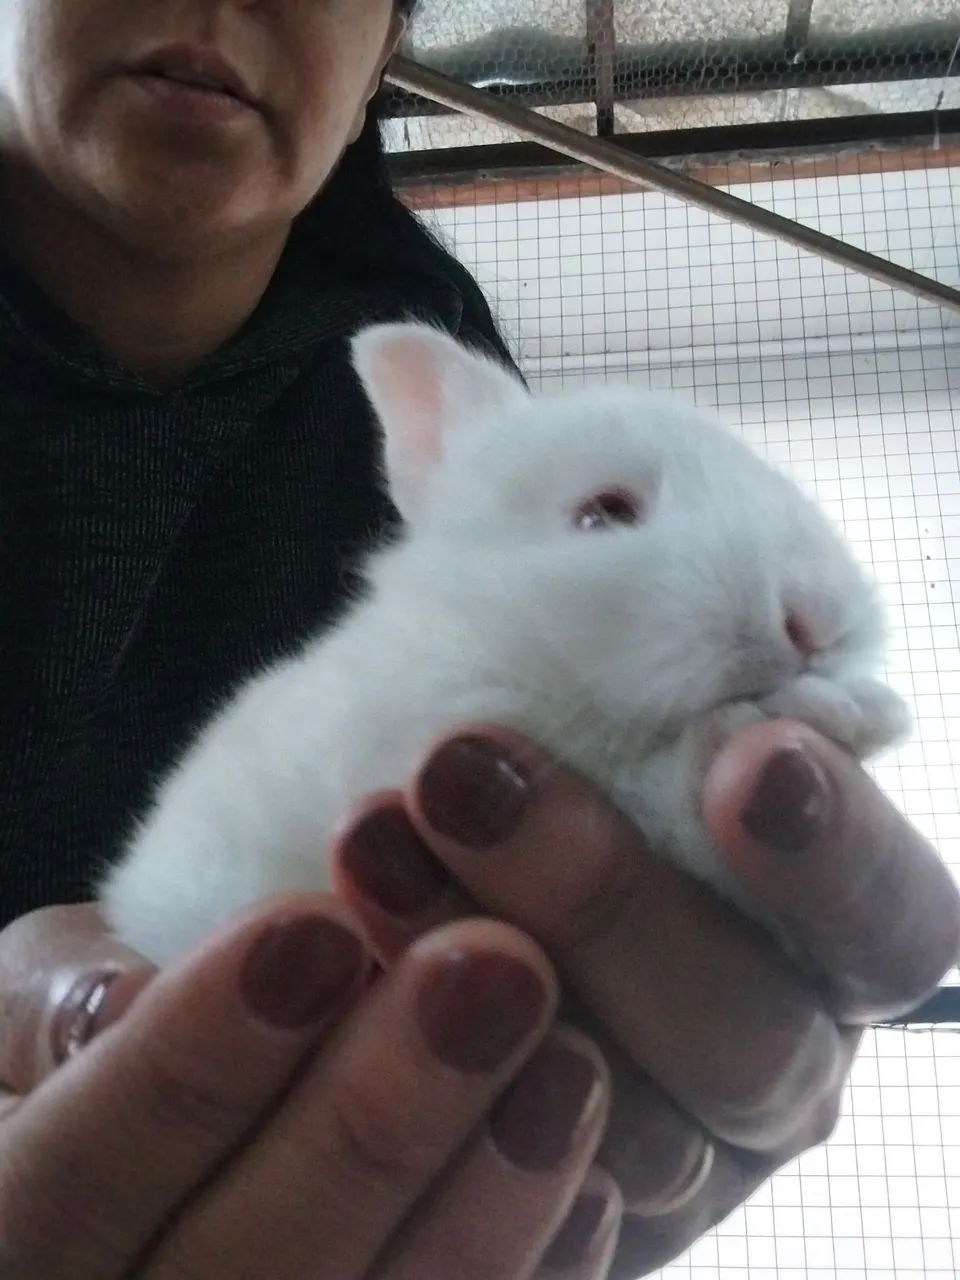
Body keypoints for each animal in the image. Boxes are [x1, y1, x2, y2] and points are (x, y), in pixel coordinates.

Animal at [100, 321, 912, 966]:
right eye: (603, 514)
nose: (813, 620)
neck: (502, 646)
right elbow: (669, 797)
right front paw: (811, 717)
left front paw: (871, 711)